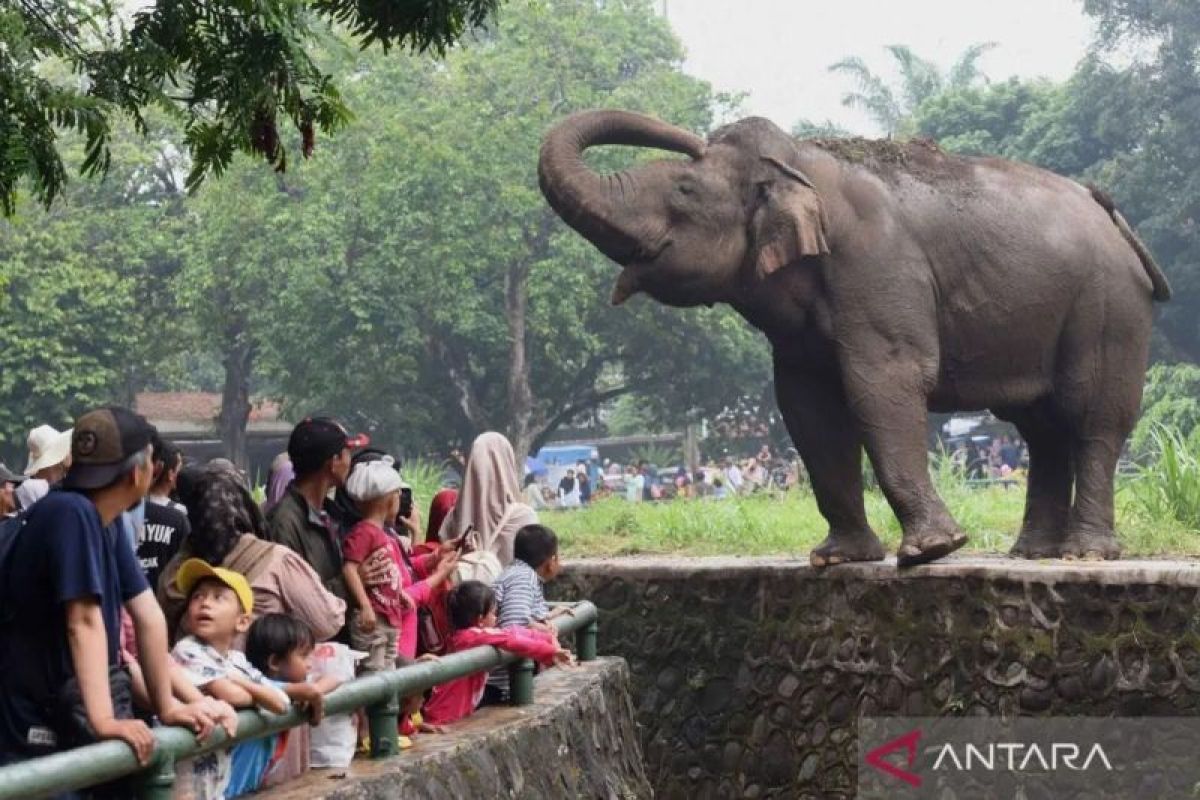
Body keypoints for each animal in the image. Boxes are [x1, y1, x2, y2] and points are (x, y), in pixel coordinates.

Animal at [537, 109, 1171, 566]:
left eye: (684, 191)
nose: (689, 135)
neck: (800, 165)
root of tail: (1113, 214)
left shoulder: (877, 266)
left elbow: (883, 381)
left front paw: (931, 551)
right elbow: (806, 406)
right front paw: (836, 559)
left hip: (1108, 308)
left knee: (1090, 416)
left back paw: (1086, 554)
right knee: (1040, 427)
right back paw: (1032, 553)